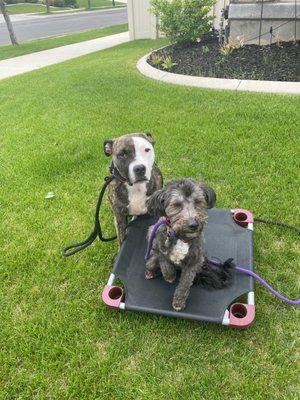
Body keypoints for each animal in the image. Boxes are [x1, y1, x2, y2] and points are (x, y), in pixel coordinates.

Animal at [146, 179, 229, 312]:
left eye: (198, 202)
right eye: (177, 205)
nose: (193, 224)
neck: (181, 237)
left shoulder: (193, 263)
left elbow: (184, 285)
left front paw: (178, 302)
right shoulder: (159, 245)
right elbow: (165, 263)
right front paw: (170, 276)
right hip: (150, 234)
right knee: (152, 262)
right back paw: (151, 271)